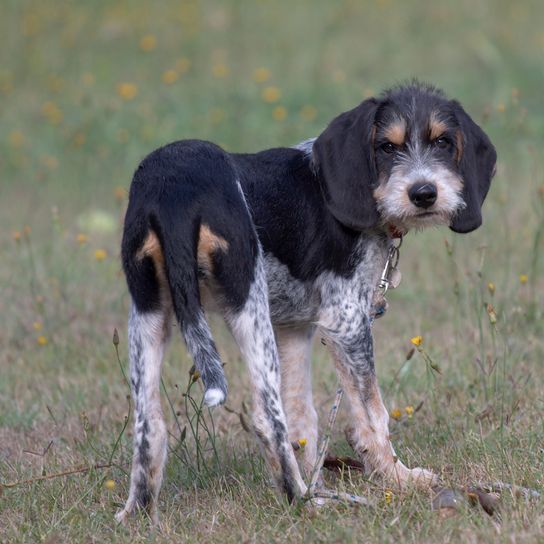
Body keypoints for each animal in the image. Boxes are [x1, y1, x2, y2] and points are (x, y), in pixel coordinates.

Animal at [116, 81, 498, 524]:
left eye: (443, 142)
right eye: (386, 147)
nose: (424, 194)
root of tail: (173, 192)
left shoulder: (294, 328)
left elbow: (303, 418)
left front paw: (319, 472)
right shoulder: (347, 322)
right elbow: (372, 414)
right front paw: (397, 478)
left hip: (149, 315)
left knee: (149, 426)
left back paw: (138, 514)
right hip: (248, 310)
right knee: (266, 419)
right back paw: (303, 500)